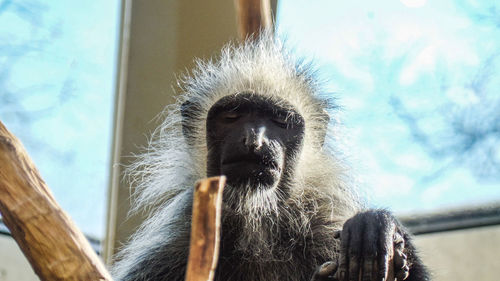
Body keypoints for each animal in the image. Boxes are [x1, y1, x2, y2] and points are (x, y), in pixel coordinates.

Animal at [112, 31, 430, 280]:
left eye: (280, 121)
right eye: (232, 116)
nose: (255, 139)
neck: (256, 227)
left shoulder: (323, 227)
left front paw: (378, 228)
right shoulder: (175, 245)